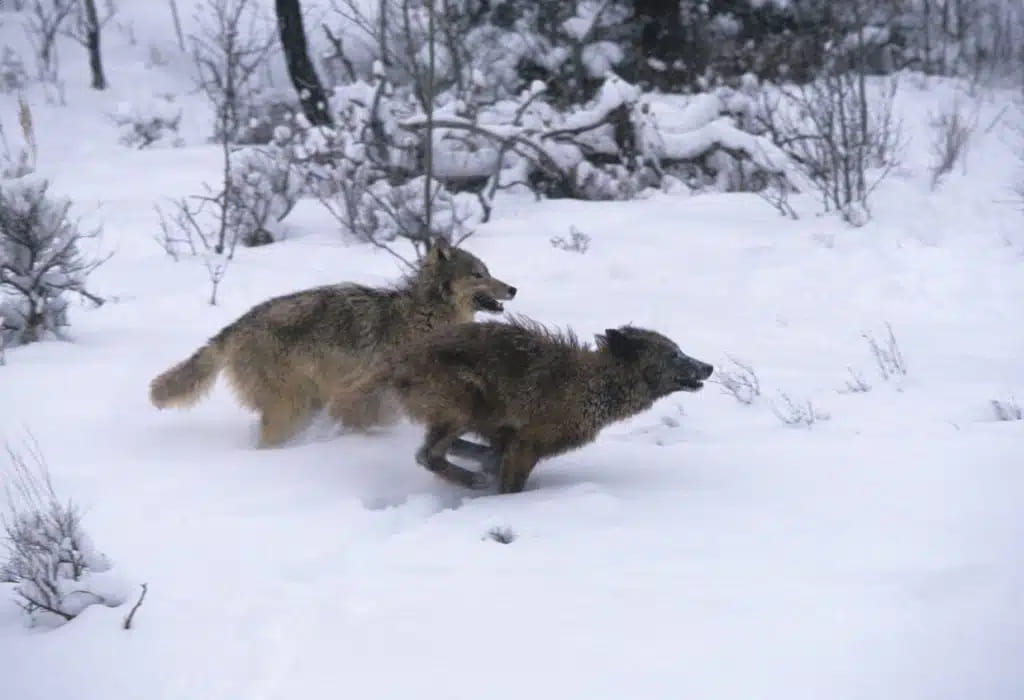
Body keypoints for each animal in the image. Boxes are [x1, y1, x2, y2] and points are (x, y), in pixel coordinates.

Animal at [148, 237, 516, 446]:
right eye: (478, 274)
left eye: (488, 271)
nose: (513, 288)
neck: (423, 318)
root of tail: (234, 327)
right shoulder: (356, 393)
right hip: (292, 407)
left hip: (303, 403)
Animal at [335, 315, 712, 491]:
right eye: (674, 355)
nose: (708, 367)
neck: (592, 384)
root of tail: (396, 361)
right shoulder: (526, 445)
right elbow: (510, 487)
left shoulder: (510, 441)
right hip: (464, 400)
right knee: (427, 455)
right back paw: (472, 480)